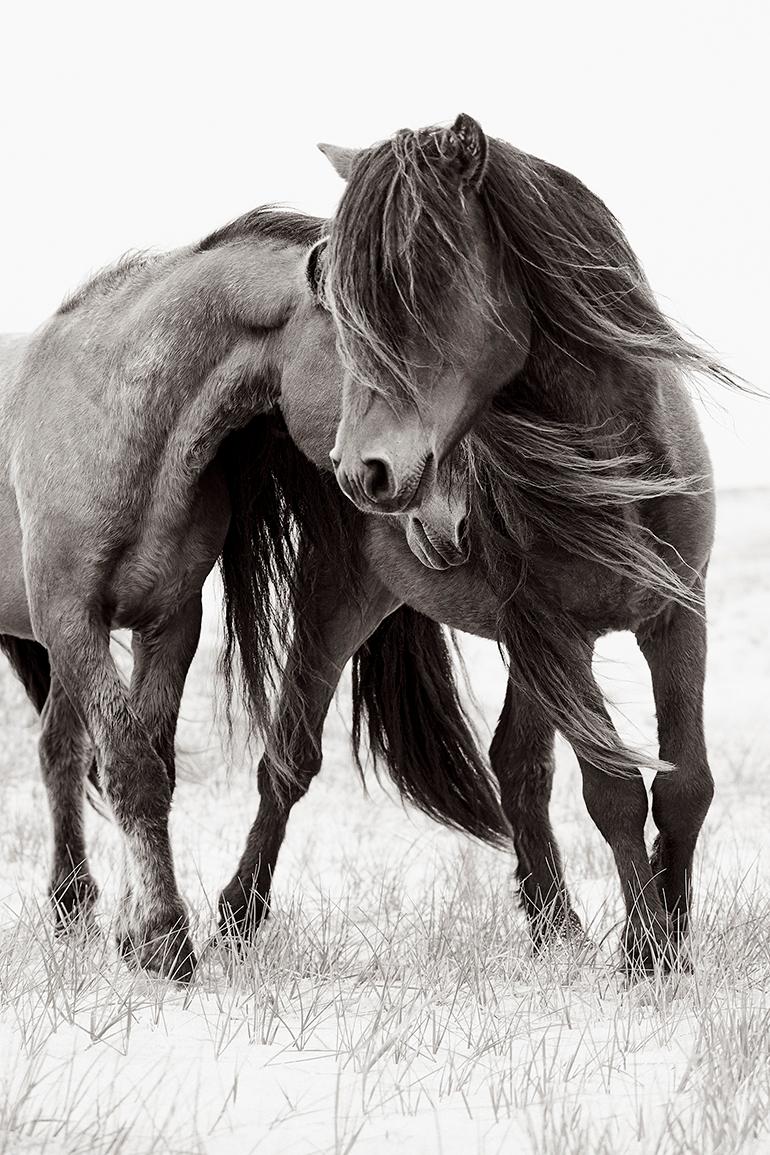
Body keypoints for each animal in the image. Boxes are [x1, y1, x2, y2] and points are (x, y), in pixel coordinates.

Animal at [215, 117, 738, 974]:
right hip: (342, 602)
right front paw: (649, 952)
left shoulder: (674, 615)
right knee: (287, 760)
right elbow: (614, 790)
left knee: (518, 769)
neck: (611, 461)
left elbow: (685, 784)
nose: (366, 471)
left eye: (421, 279)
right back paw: (236, 915)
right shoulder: (552, 635)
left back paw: (556, 924)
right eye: (341, 304)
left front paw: (670, 933)